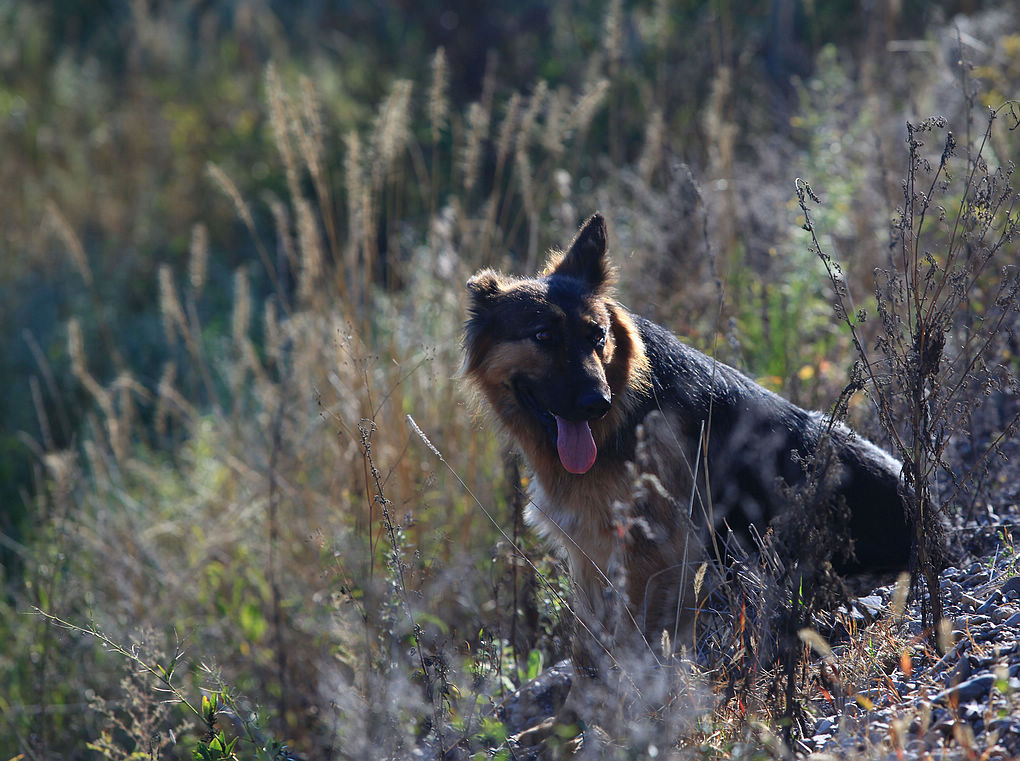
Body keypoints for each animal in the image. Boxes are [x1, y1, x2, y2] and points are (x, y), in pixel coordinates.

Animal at [461, 212, 909, 665]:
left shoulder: (652, 558)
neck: (626, 412)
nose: (597, 403)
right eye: (543, 337)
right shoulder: (593, 558)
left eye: (597, 336)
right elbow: (589, 653)